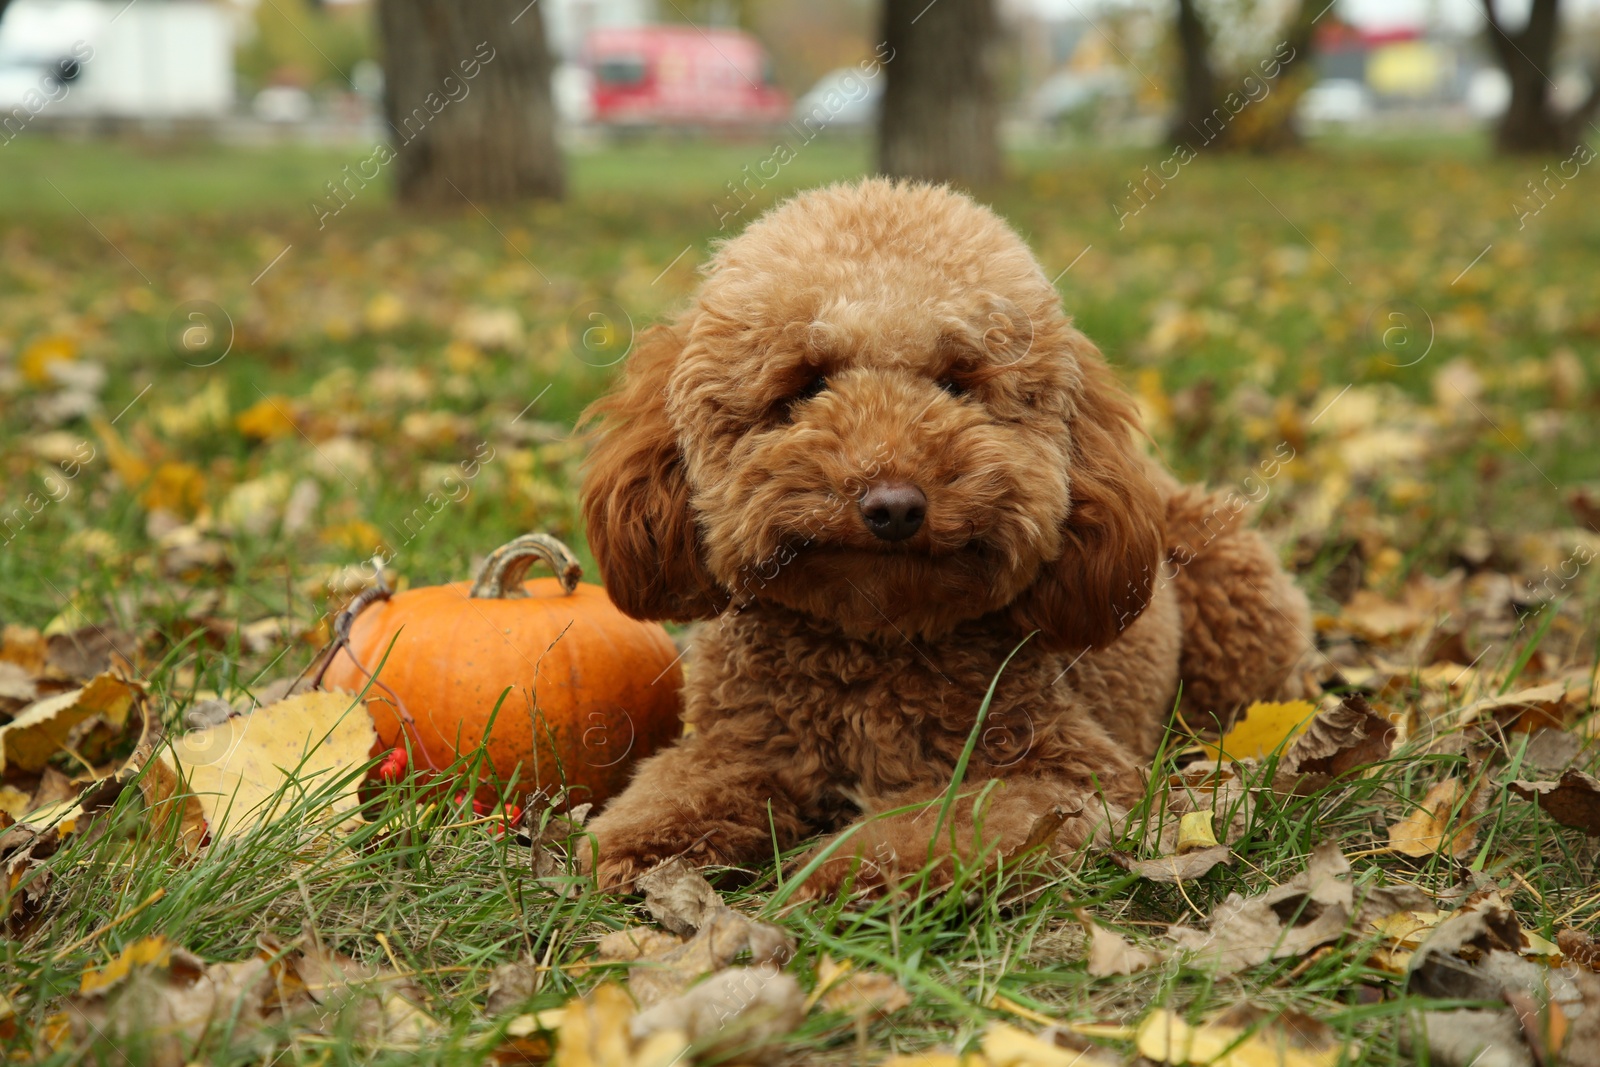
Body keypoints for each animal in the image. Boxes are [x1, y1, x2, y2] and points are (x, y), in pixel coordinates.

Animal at [582, 179, 1305, 895]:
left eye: (959, 383)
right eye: (808, 383)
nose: (894, 506)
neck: (871, 648)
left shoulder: (1070, 772)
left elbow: (935, 826)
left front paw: (835, 871)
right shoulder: (741, 742)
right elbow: (680, 786)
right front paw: (632, 846)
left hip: (1237, 595)